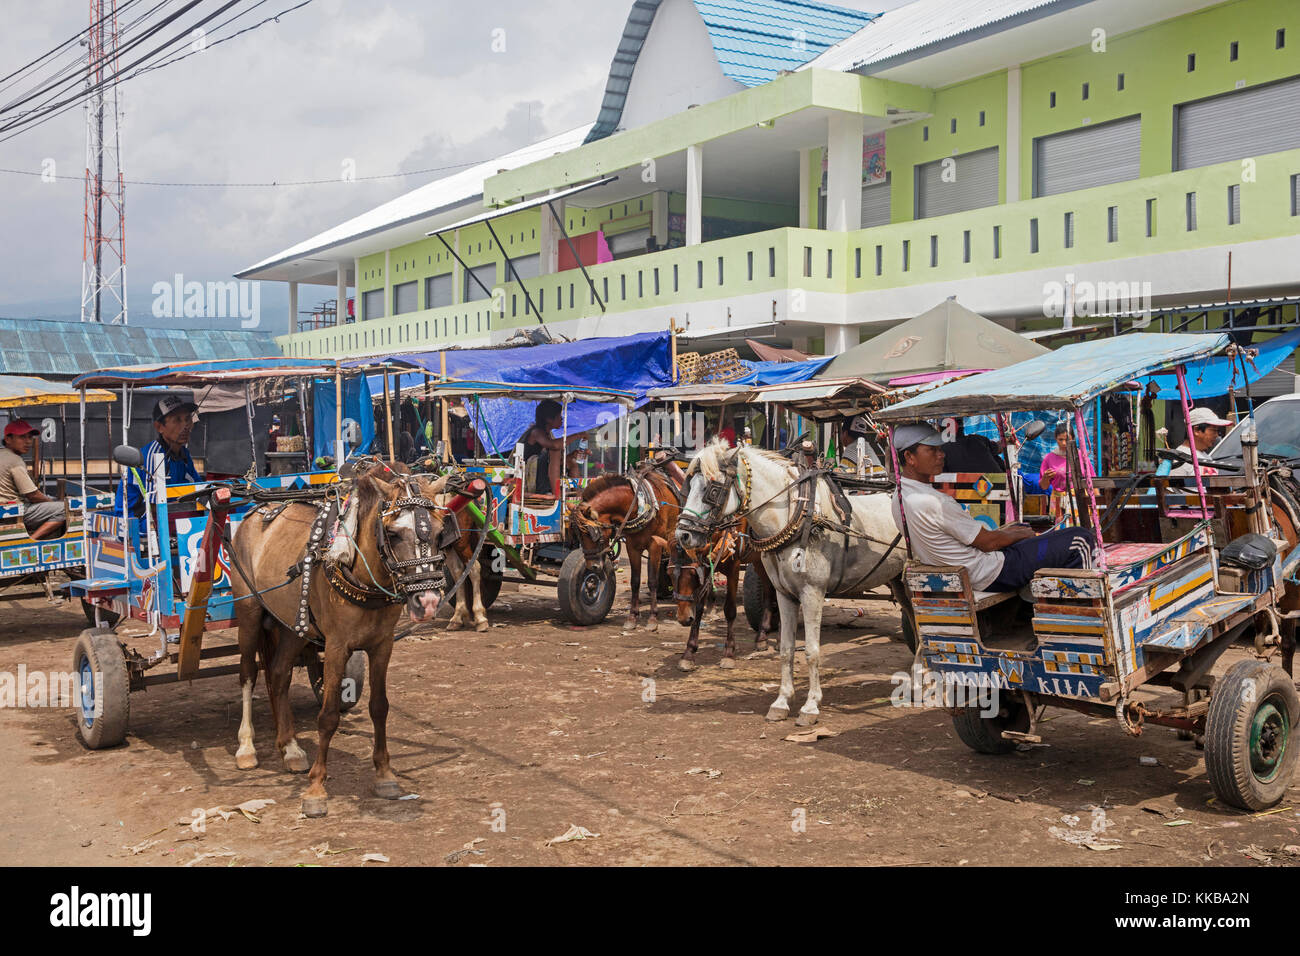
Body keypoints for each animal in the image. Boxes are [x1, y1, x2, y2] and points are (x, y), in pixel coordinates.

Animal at [224, 463, 447, 816]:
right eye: (394, 534)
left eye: (440, 533)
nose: (427, 602)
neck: (361, 572)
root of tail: (255, 510)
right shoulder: (336, 647)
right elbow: (328, 716)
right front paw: (316, 789)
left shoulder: (382, 645)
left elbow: (379, 707)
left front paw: (385, 775)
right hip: (248, 612)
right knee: (247, 674)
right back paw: (246, 747)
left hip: (292, 625)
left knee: (278, 674)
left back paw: (290, 748)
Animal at [574, 468, 686, 632]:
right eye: (579, 536)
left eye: (594, 534)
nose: (592, 567)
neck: (639, 505)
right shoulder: (632, 547)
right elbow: (635, 581)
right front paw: (632, 617)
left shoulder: (655, 545)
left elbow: (652, 581)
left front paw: (653, 618)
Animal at [681, 439, 904, 723]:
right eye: (689, 485)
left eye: (712, 489)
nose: (683, 534)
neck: (794, 514)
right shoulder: (784, 594)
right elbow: (787, 649)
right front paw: (781, 701)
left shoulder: (813, 593)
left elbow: (811, 650)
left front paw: (810, 706)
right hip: (899, 580)